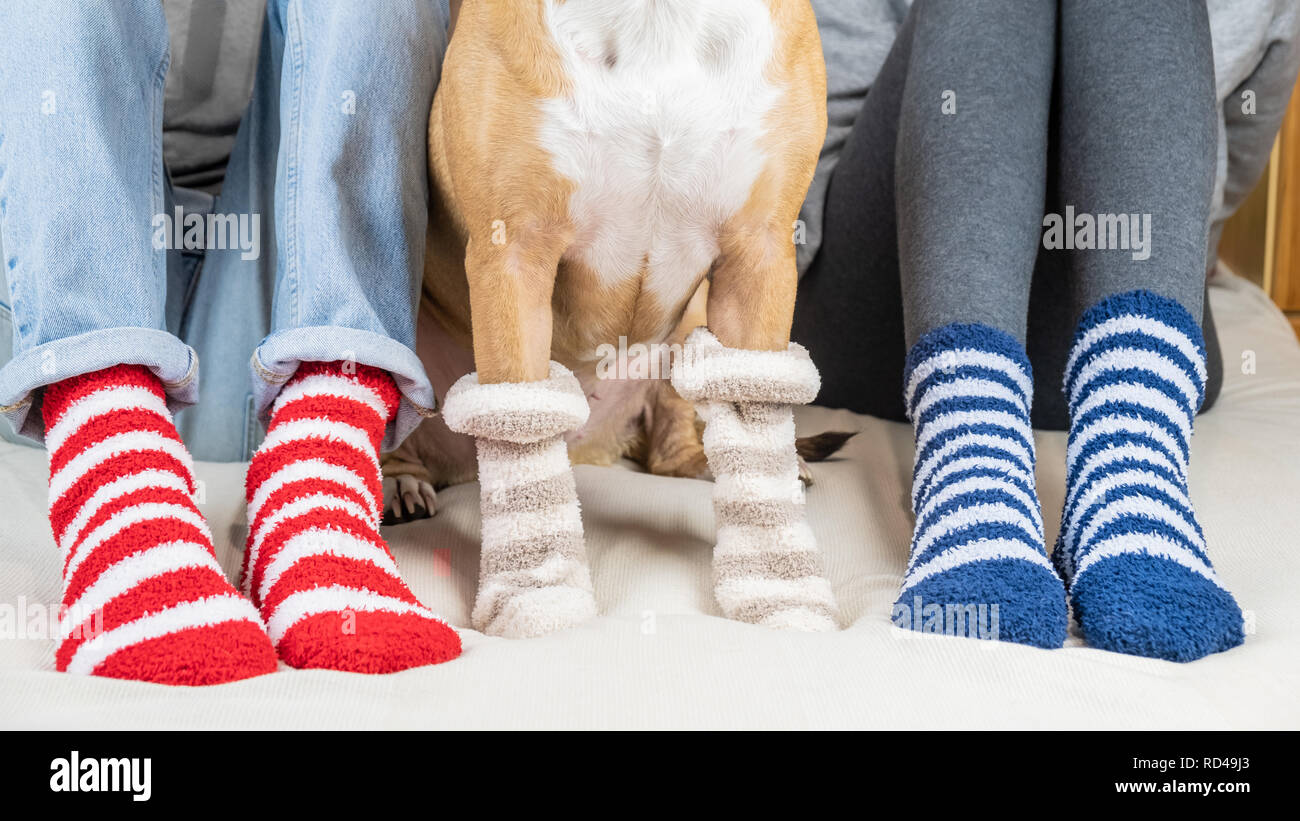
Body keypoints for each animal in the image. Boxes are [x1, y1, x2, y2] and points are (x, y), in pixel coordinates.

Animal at [379, 0, 842, 639]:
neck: (657, 14)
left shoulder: (759, 255)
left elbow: (754, 427)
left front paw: (778, 590)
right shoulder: (513, 253)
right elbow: (519, 428)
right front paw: (535, 596)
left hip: (694, 325)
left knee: (673, 449)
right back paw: (400, 480)